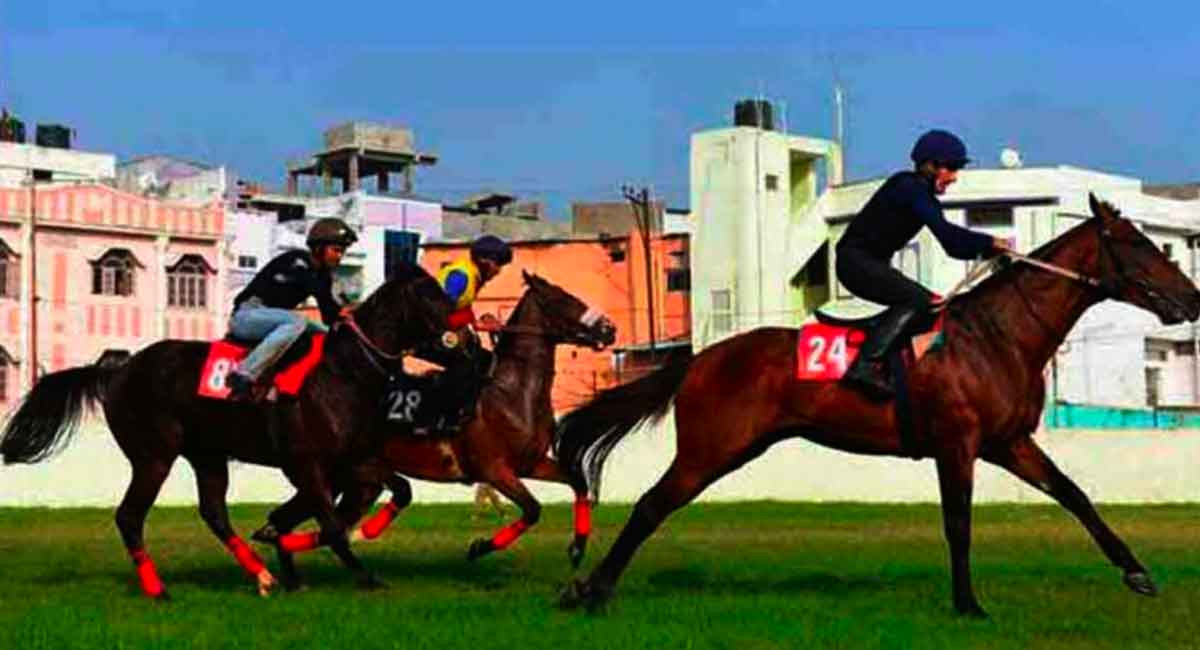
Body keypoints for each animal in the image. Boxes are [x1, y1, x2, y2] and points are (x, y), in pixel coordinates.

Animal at [0, 268, 453, 599]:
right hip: (153, 455)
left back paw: (263, 576)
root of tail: (116, 371)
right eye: (430, 295)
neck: (344, 373)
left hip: (208, 456)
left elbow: (398, 491)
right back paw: (158, 589)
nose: (459, 330)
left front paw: (307, 546)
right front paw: (364, 576)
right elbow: (333, 526)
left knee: (214, 513)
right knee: (130, 516)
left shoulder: (356, 460)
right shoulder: (307, 465)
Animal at [250, 271, 617, 589]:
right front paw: (479, 547)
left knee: (290, 521)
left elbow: (578, 482)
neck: (512, 392)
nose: (608, 329)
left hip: (349, 481)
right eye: (562, 299)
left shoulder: (531, 463)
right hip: (344, 473)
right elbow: (532, 510)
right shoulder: (495, 469)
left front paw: (578, 548)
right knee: (311, 523)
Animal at [554, 194, 1200, 617]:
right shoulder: (958, 445)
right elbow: (958, 523)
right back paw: (592, 592)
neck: (997, 335)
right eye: (1137, 244)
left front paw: (1137, 572)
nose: (1191, 297)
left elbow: (1074, 495)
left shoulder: (1009, 443)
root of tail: (701, 358)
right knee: (649, 506)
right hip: (711, 449)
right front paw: (968, 604)